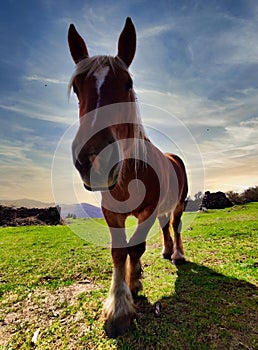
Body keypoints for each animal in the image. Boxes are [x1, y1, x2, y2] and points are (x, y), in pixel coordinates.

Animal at [67, 17, 187, 338]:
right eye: (77, 89)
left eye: (128, 83)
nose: (95, 158)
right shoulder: (112, 212)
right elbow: (120, 252)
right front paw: (121, 302)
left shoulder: (147, 211)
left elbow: (136, 246)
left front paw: (131, 289)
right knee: (166, 227)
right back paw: (166, 252)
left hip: (179, 204)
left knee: (176, 226)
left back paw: (177, 254)